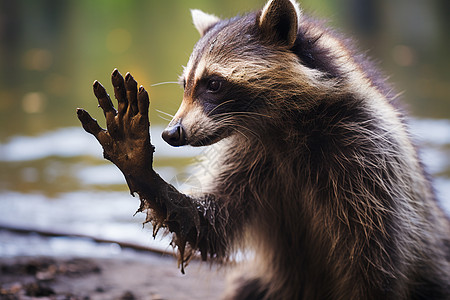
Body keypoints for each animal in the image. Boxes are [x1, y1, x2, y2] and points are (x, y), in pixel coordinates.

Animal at [79, 0, 448, 298]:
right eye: (186, 86)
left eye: (214, 84)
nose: (171, 133)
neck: (283, 129)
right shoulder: (249, 153)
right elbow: (208, 224)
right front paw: (138, 164)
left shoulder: (368, 152)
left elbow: (374, 262)